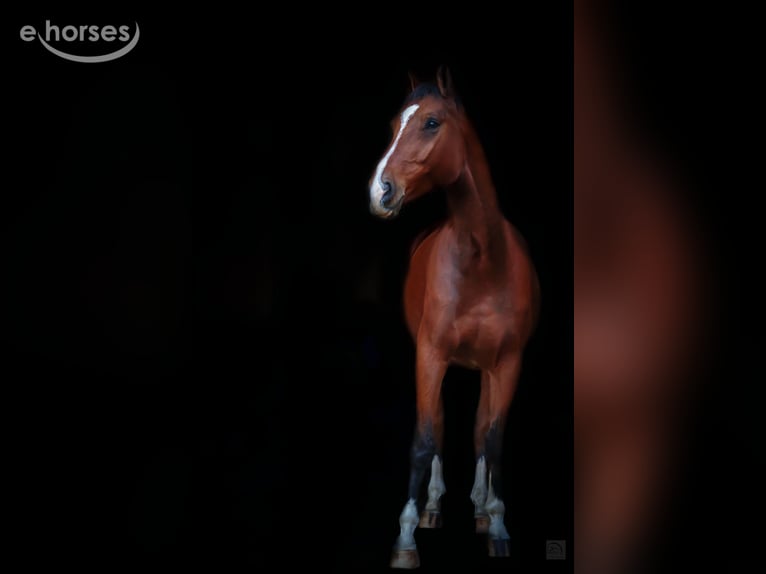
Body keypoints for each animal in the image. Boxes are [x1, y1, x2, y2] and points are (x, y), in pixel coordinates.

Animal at [368, 66, 541, 568]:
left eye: (431, 123)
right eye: (394, 125)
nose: (380, 190)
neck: (483, 261)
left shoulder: (508, 363)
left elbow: (493, 439)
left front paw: (498, 525)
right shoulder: (430, 355)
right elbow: (426, 438)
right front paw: (406, 537)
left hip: (486, 368)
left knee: (481, 429)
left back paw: (481, 511)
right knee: (443, 424)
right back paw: (432, 508)